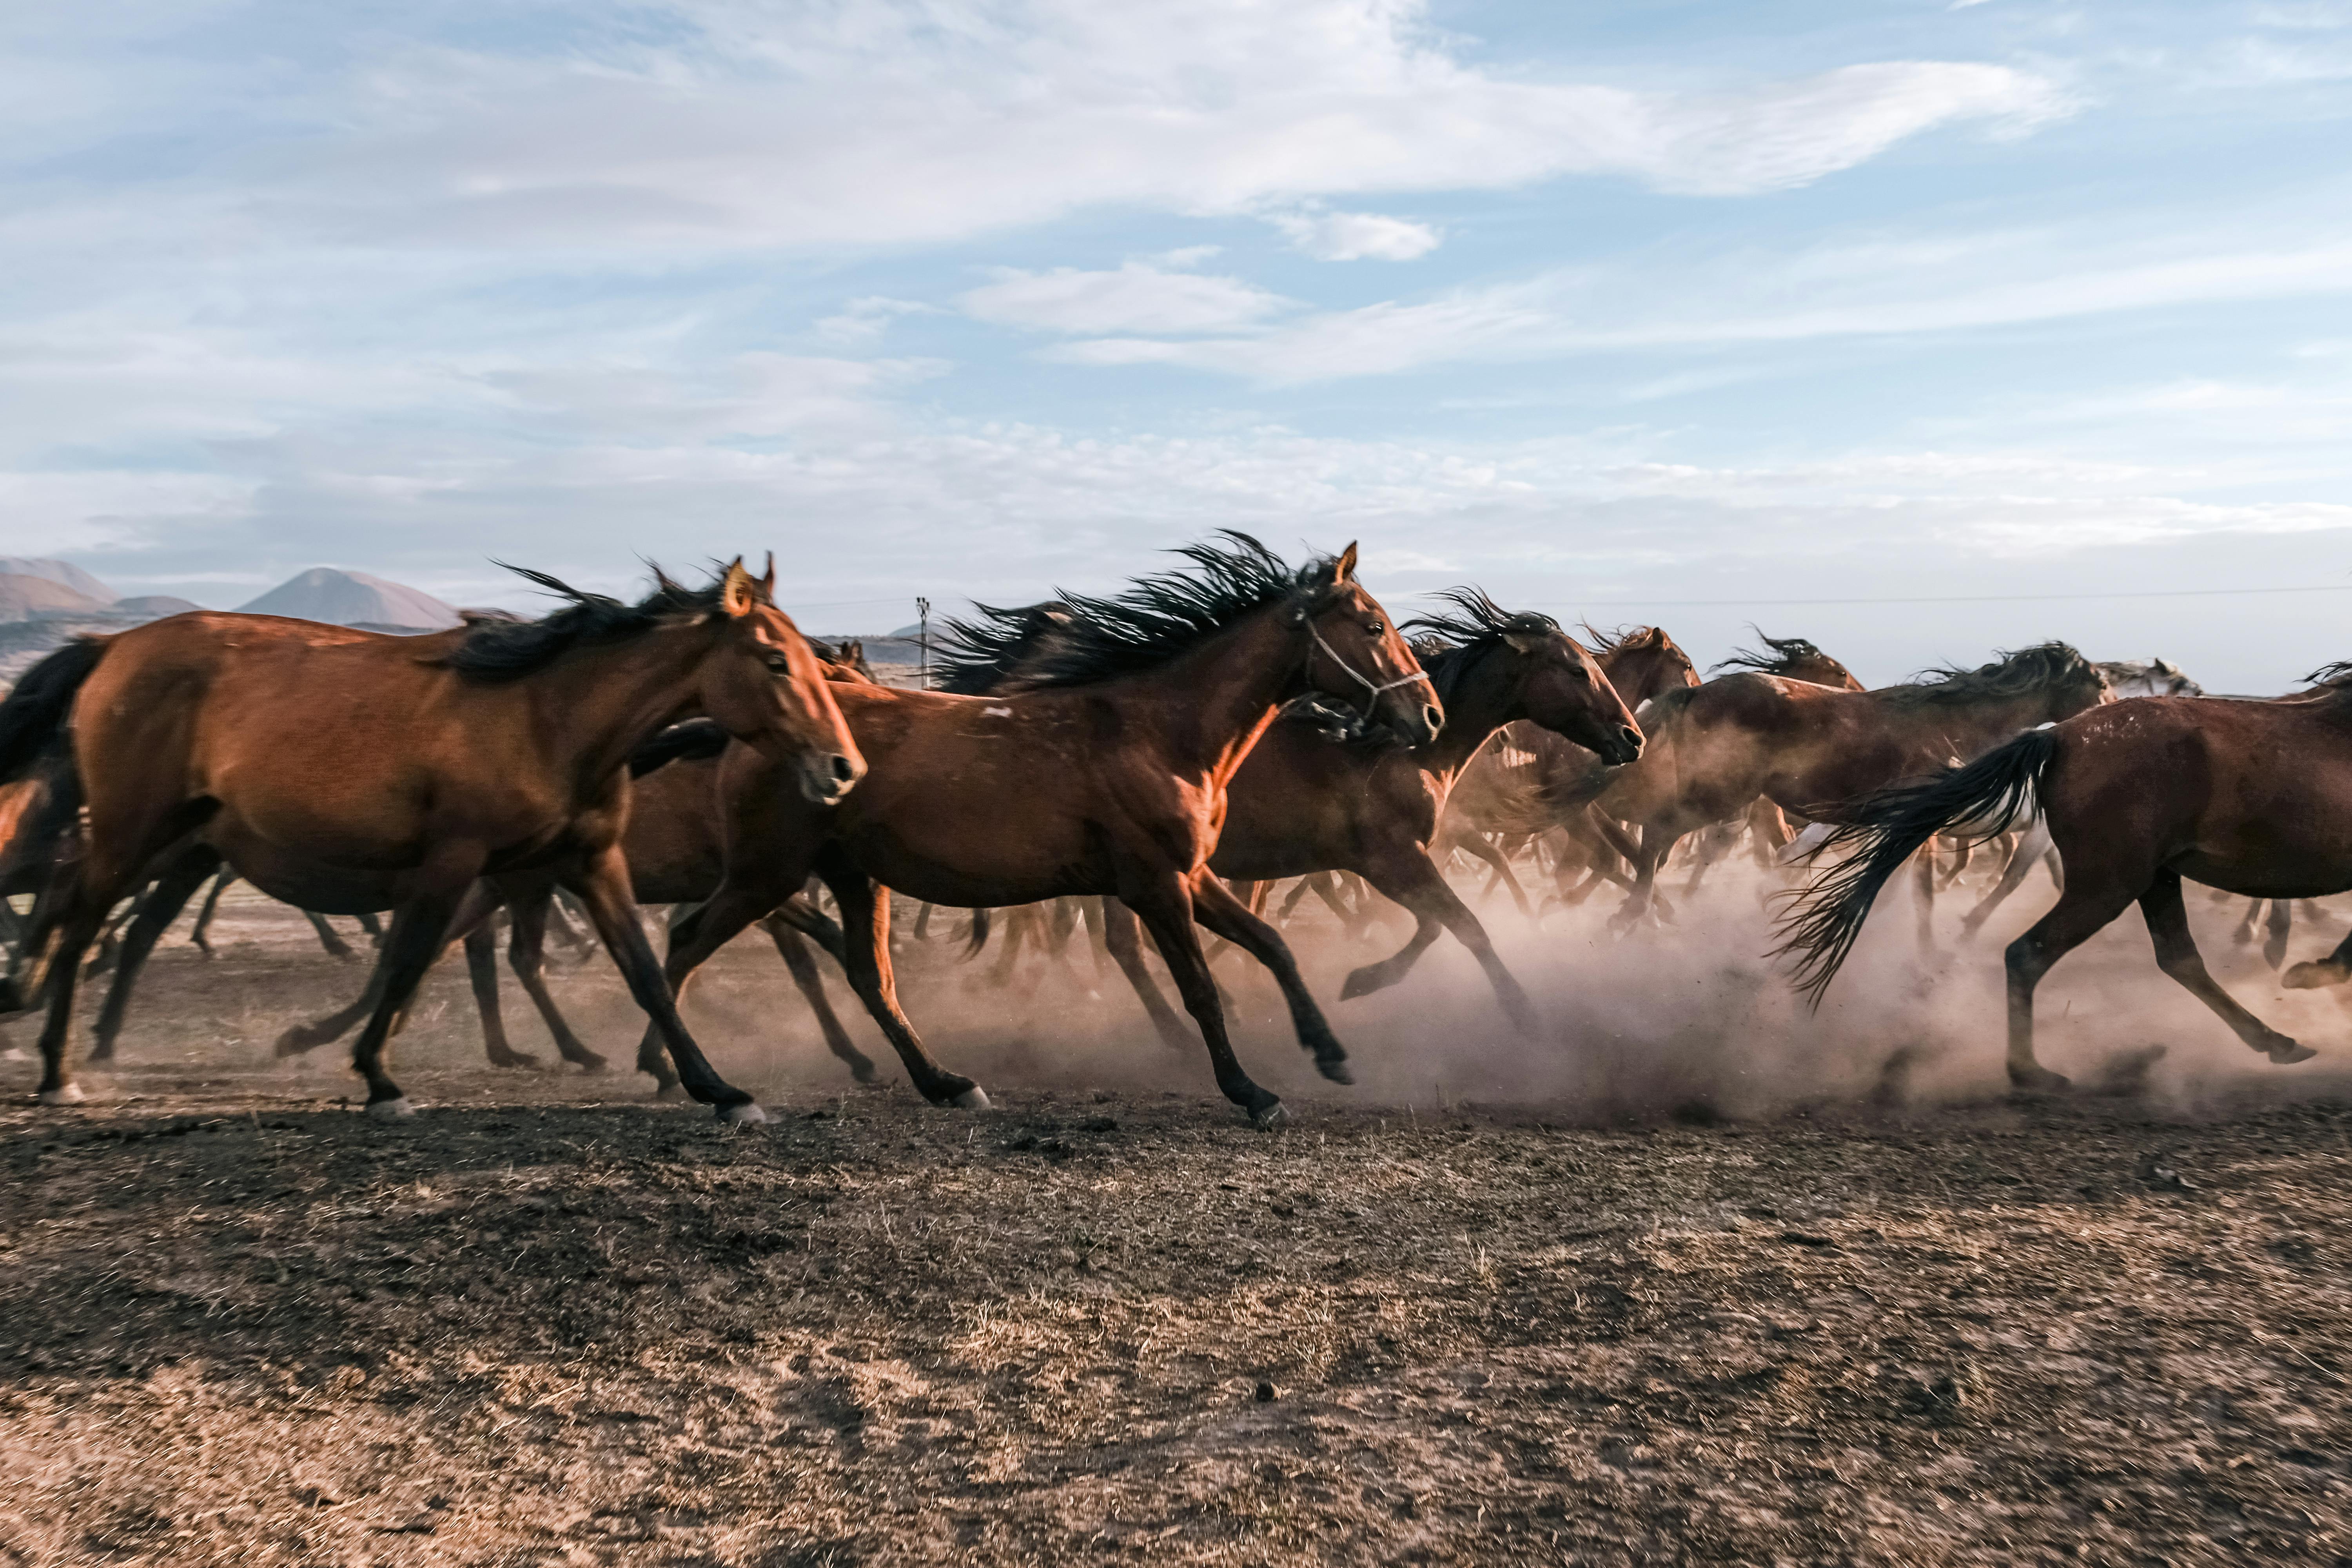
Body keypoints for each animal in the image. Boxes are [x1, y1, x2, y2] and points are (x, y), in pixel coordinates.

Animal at [0, 562, 866, 1114]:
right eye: (775, 659)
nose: (844, 766)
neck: (550, 717)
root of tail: (112, 646)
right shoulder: (458, 859)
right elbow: (412, 956)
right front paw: (379, 1078)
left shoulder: (587, 862)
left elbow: (648, 971)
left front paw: (717, 1088)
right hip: (135, 828)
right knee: (85, 921)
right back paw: (60, 1063)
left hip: (179, 838)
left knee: (88, 915)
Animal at [640, 541, 1430, 1128]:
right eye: (1373, 626)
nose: (1428, 714)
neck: (1161, 732)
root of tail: (743, 731)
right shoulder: (1156, 885)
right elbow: (1201, 988)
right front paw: (1253, 1093)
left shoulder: (1193, 875)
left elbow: (1274, 946)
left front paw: (1331, 1052)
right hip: (767, 872)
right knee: (685, 945)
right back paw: (704, 1085)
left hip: (852, 876)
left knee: (870, 976)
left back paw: (948, 1084)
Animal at [1599, 639, 2117, 931]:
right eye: (2100, 683)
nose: (2112, 718)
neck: (1952, 724)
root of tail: (1695, 693)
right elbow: (1917, 893)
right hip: (1719, 795)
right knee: (1659, 837)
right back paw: (1634, 912)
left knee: (1663, 843)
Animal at [1778, 677, 2352, 1091]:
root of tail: (2058, 736)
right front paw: (2310, 971)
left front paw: (2305, 968)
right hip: (2109, 883)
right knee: (2027, 953)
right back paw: (2031, 1072)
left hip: (2151, 877)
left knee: (2178, 957)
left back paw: (2276, 1039)